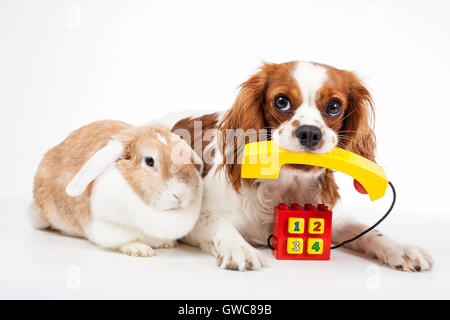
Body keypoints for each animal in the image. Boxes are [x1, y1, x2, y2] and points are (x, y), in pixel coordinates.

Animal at [162, 59, 432, 270]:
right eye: (281, 101)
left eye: (334, 106)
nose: (310, 133)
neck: (287, 184)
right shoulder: (195, 218)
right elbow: (219, 222)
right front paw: (239, 248)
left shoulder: (337, 218)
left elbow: (368, 230)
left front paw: (403, 248)